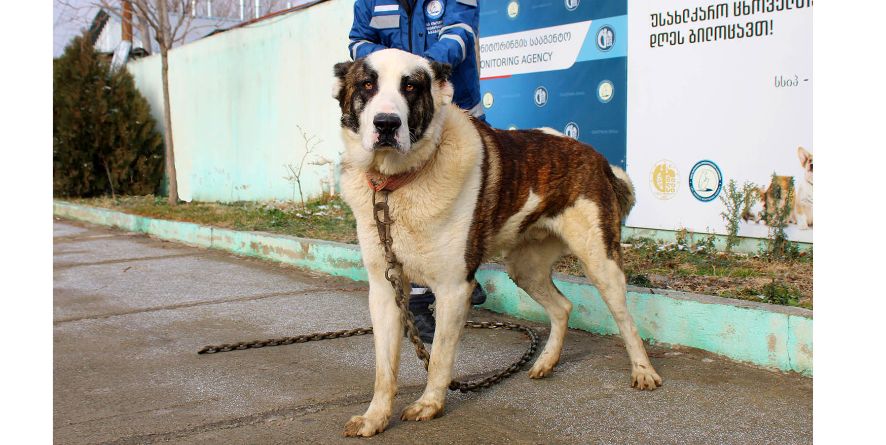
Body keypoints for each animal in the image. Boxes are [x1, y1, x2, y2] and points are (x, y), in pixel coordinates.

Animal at [332, 49, 660, 438]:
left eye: (410, 87)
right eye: (367, 84)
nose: (386, 124)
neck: (397, 184)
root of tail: (597, 157)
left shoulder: (454, 288)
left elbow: (439, 357)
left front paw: (430, 404)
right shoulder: (384, 289)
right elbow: (385, 368)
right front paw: (376, 416)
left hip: (599, 261)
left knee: (624, 318)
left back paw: (643, 370)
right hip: (525, 268)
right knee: (563, 307)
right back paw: (546, 362)